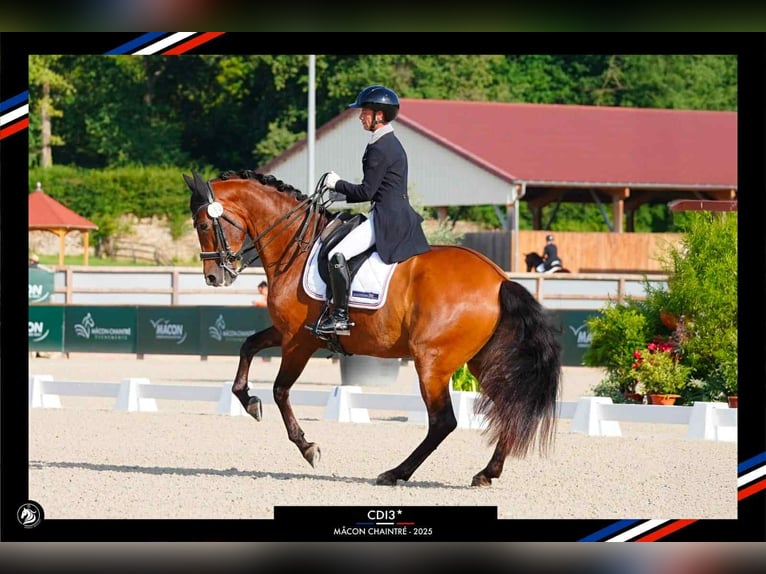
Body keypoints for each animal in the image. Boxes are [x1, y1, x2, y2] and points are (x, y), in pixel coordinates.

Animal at [184, 169, 562, 487]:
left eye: (202, 225)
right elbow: (247, 346)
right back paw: (487, 472)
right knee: (507, 408)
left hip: (432, 362)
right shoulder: (287, 332)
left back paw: (396, 473)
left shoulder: (299, 341)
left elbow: (280, 390)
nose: (214, 277)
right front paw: (248, 401)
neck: (295, 245)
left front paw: (307, 447)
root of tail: (499, 280)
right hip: (479, 361)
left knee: (443, 421)